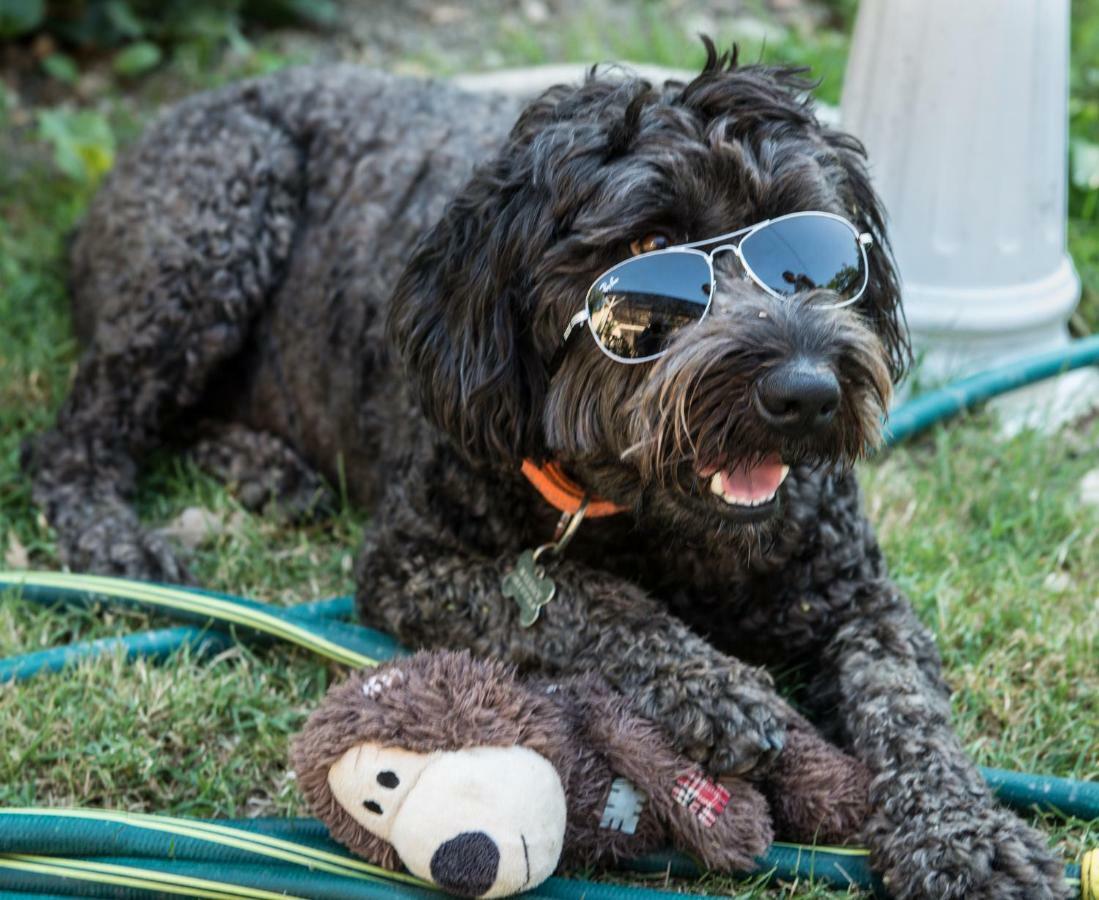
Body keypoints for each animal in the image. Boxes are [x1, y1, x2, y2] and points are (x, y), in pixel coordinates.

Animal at [25, 43, 1068, 900]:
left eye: (808, 248)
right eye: (647, 254)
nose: (807, 392)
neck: (657, 519)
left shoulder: (855, 595)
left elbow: (909, 710)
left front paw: (970, 838)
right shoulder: (413, 564)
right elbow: (584, 600)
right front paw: (714, 687)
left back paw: (263, 465)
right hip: (208, 231)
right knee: (80, 433)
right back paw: (117, 538)